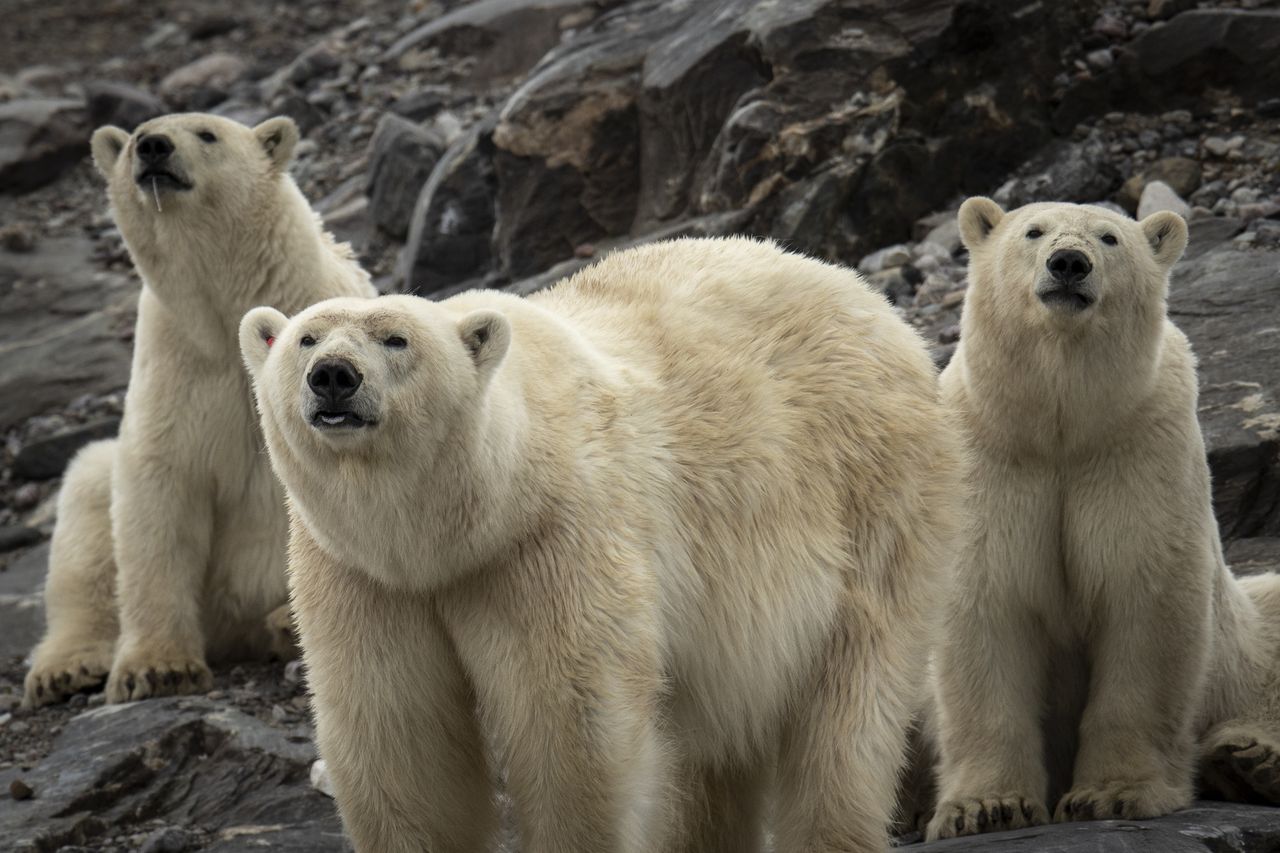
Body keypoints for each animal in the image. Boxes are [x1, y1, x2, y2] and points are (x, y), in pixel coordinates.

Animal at [22, 114, 373, 712]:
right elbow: (158, 494)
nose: (152, 147)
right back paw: (64, 667)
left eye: (207, 133)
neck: (230, 307)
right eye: (136, 138)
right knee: (85, 519)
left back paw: (283, 624)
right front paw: (157, 669)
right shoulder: (178, 368)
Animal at [238, 236, 962, 850]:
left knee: (849, 697)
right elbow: (397, 727)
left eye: (397, 338)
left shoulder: (555, 536)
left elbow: (571, 720)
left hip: (869, 495)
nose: (333, 376)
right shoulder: (363, 572)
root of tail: (874, 305)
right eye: (304, 338)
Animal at [926, 194, 1280, 835]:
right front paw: (985, 808)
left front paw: (1113, 794)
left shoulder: (1139, 450)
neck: (1062, 427)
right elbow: (986, 613)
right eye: (1033, 231)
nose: (1068, 263)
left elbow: (1143, 607)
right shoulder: (989, 460)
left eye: (1110, 238)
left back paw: (1252, 760)